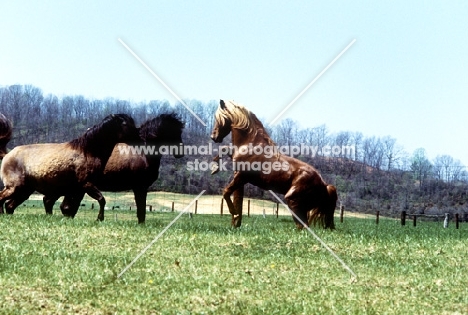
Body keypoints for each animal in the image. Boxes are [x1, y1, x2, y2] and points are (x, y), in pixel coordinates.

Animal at [0, 114, 139, 222]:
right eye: (125, 123)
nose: (139, 135)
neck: (88, 151)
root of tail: (7, 154)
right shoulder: (86, 184)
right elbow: (101, 199)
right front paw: (100, 218)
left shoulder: (76, 189)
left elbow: (68, 207)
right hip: (15, 187)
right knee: (2, 199)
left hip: (25, 190)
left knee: (9, 205)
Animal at [56, 112, 185, 223]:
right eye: (173, 130)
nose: (180, 152)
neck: (143, 152)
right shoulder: (140, 187)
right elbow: (141, 210)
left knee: (68, 206)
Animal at [211, 100, 336, 230]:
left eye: (219, 118)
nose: (213, 137)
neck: (251, 145)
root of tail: (324, 184)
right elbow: (224, 149)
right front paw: (214, 168)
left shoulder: (241, 176)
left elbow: (226, 192)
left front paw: (235, 213)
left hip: (293, 201)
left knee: (303, 226)